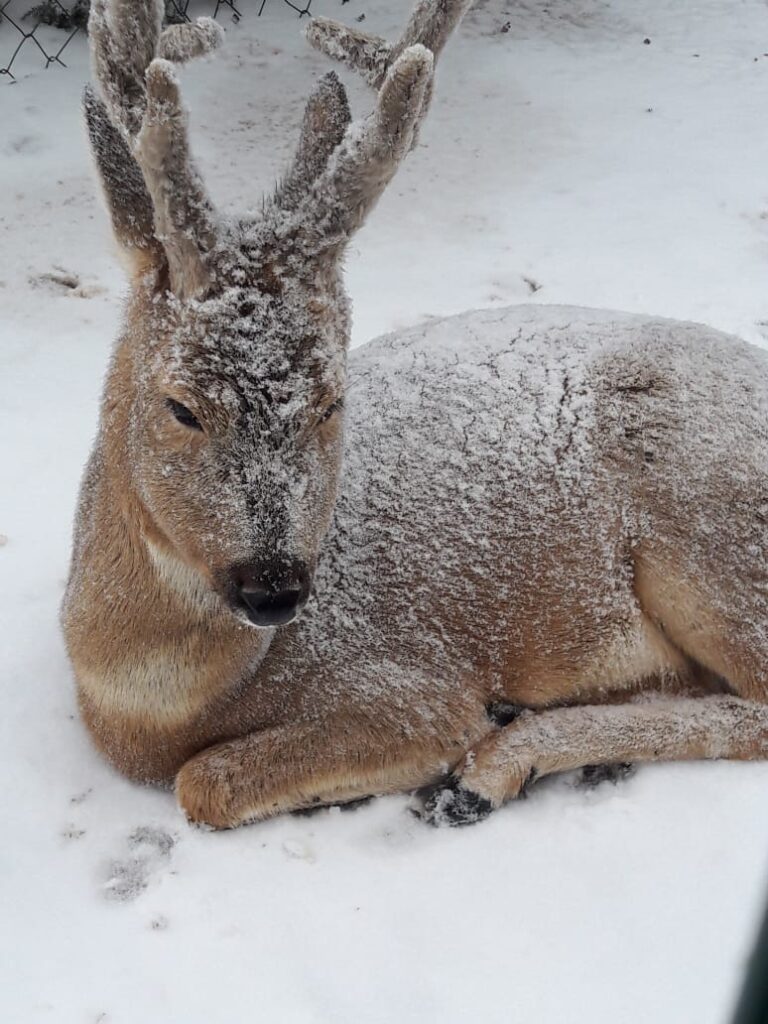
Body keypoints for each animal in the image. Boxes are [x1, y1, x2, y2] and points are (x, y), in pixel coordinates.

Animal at [64, 0, 768, 827]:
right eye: (180, 406)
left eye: (333, 399)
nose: (273, 587)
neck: (142, 701)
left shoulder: (412, 685)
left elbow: (202, 782)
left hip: (706, 525)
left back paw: (494, 767)